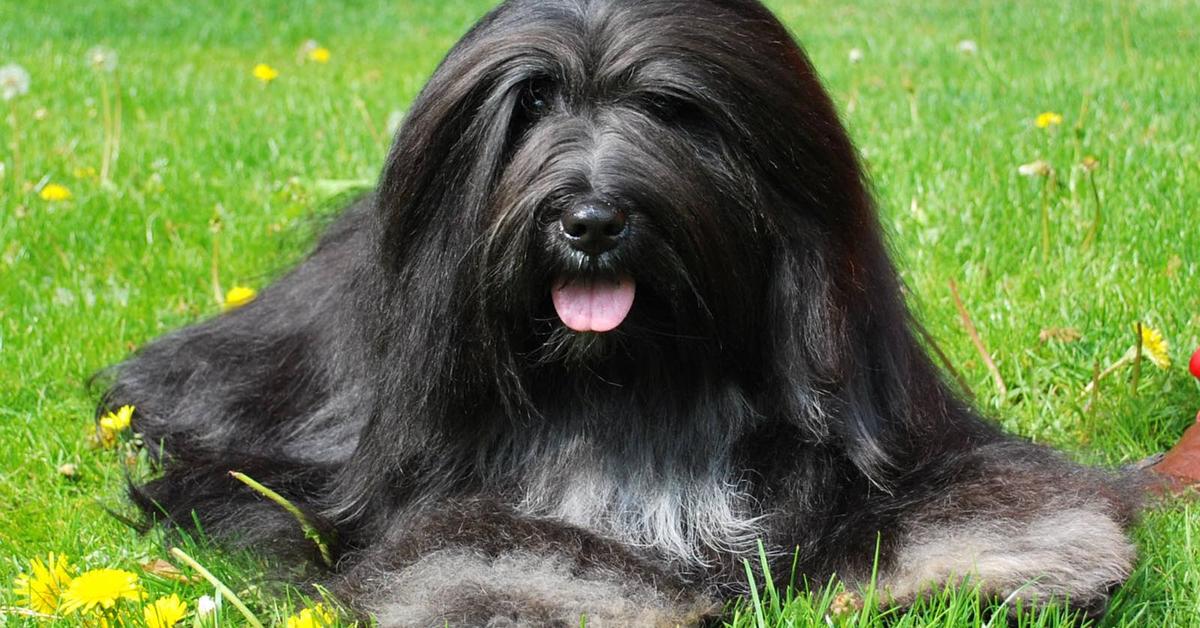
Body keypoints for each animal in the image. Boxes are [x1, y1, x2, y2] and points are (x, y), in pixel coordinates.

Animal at [98, 0, 1137, 624]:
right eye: (531, 105)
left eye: (672, 109)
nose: (590, 220)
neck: (642, 380)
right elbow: (493, 553)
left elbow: (979, 498)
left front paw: (1008, 566)